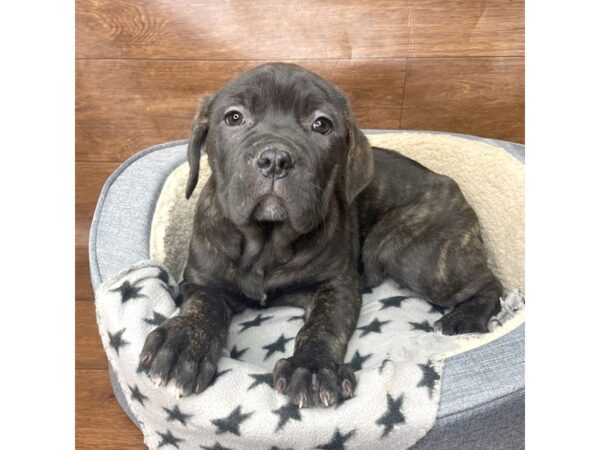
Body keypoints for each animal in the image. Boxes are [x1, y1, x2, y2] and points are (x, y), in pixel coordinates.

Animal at [138, 62, 504, 408]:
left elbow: (324, 325)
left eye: (321, 125)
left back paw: (463, 318)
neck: (267, 242)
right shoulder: (202, 280)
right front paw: (183, 344)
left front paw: (312, 368)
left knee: (491, 283)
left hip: (412, 255)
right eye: (234, 118)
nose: (275, 159)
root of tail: (452, 187)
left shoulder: (337, 284)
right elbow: (204, 305)